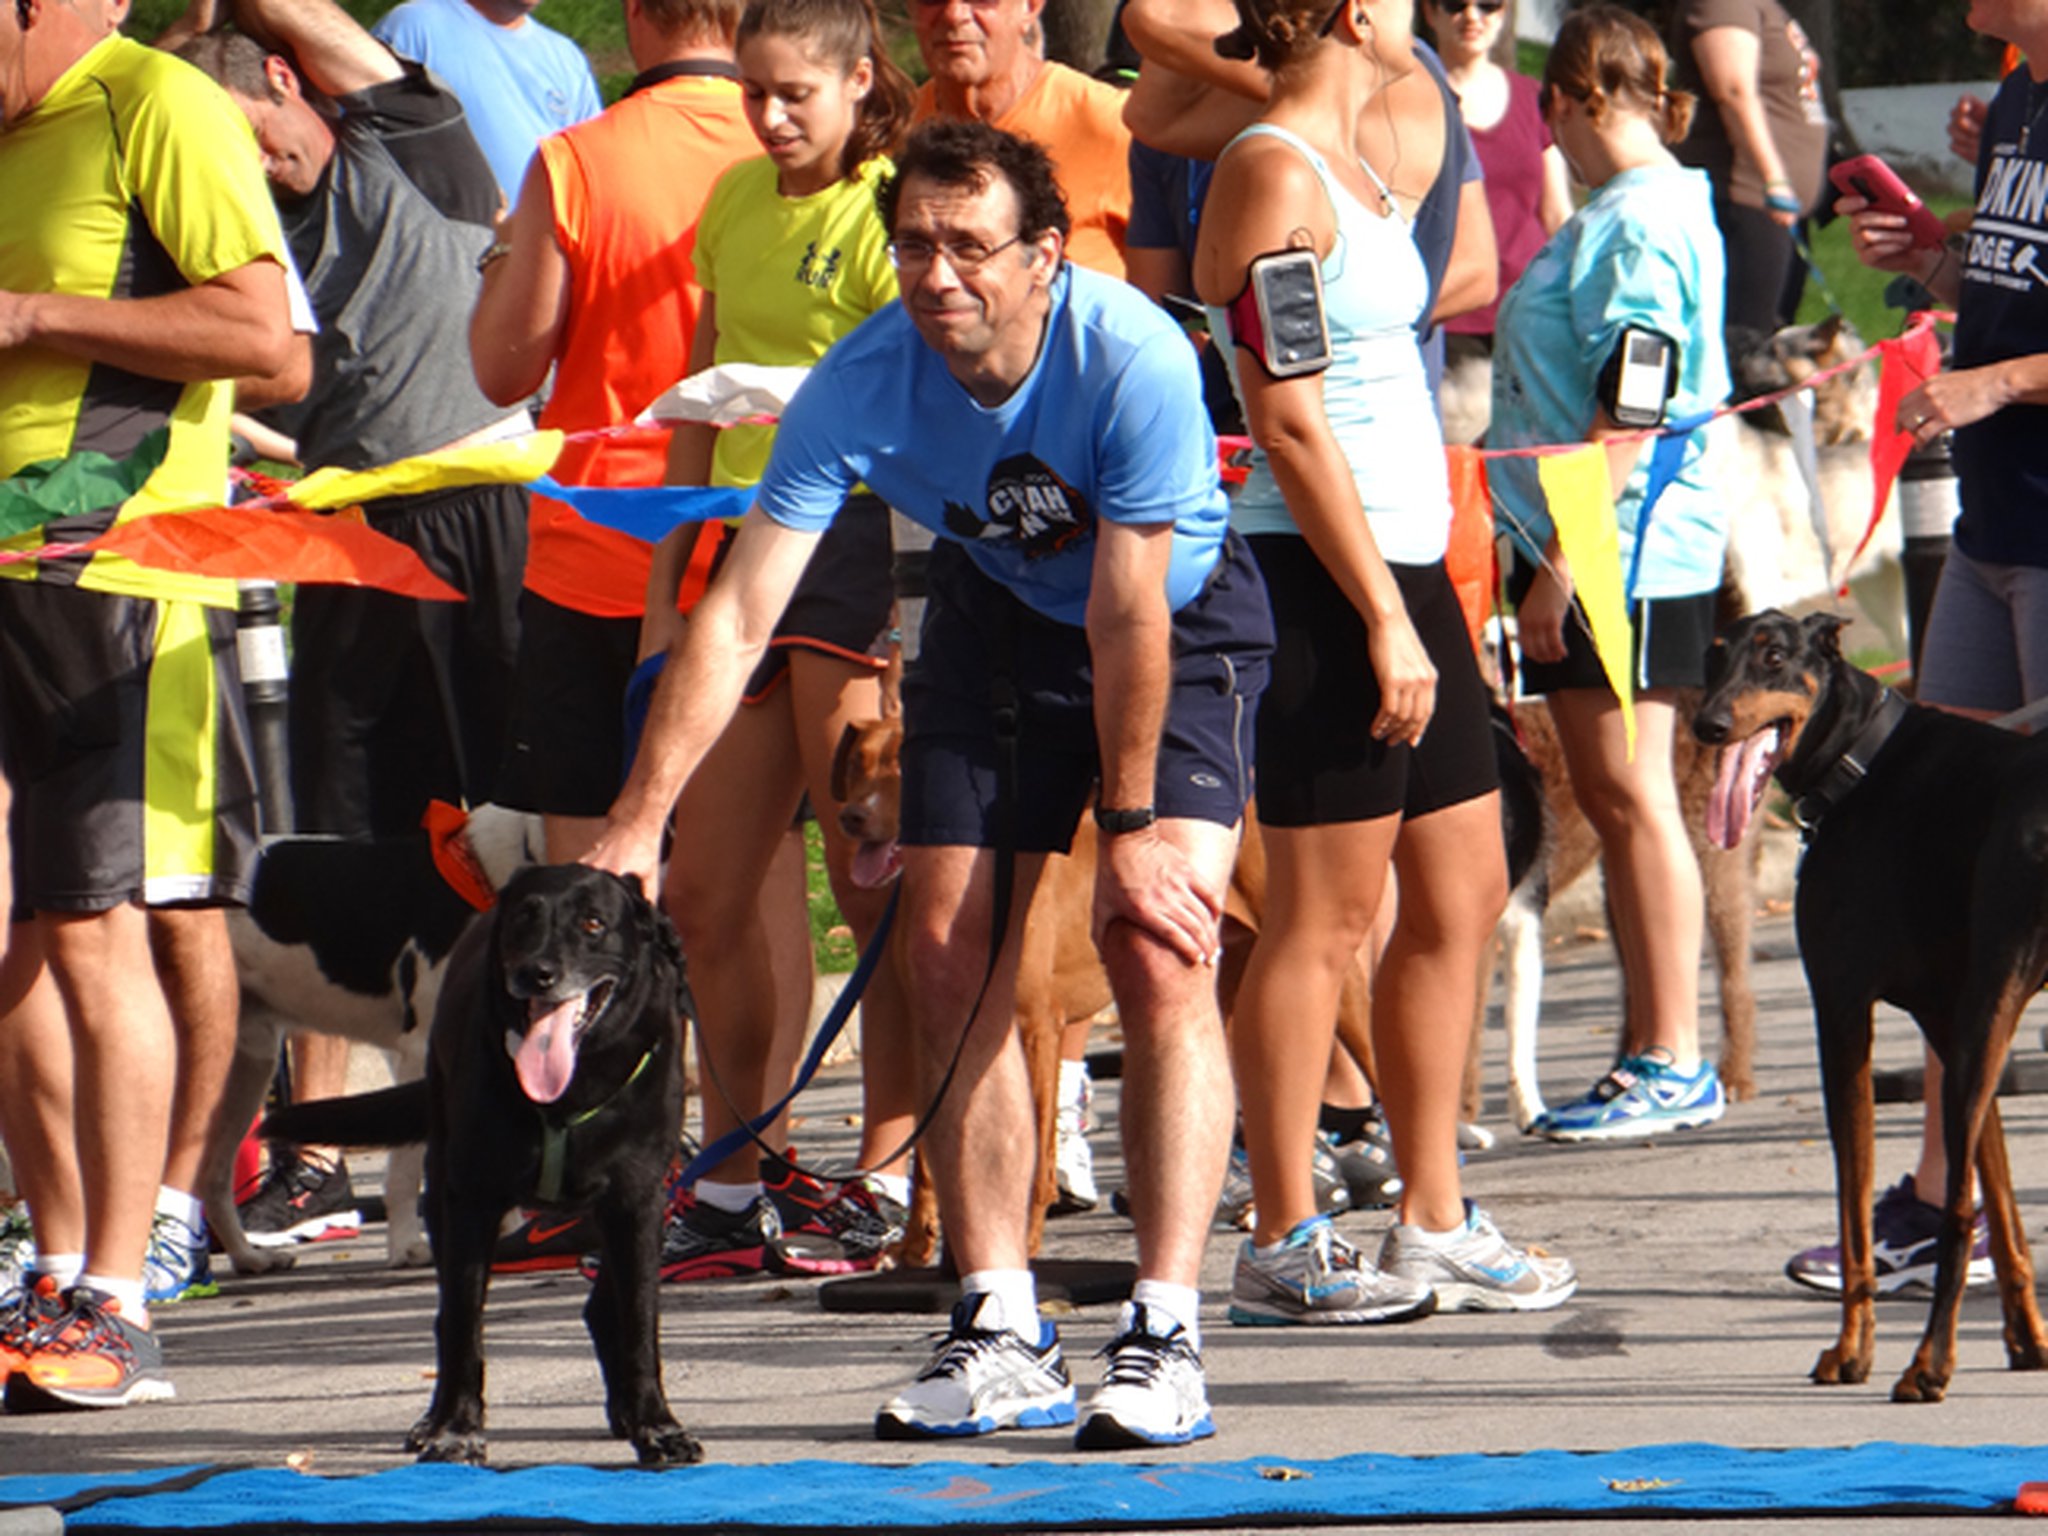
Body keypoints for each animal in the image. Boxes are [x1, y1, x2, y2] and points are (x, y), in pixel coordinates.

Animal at [268, 868, 700, 1466]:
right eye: (524, 917)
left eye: (593, 923)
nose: (536, 972)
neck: (566, 1094)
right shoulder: (471, 1201)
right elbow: (462, 1326)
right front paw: (455, 1429)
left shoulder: (638, 1202)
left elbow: (639, 1322)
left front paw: (657, 1426)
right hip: (444, 1188)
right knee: (448, 1315)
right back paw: (434, 1419)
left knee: (605, 1304)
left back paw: (625, 1411)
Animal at [1687, 614, 2048, 1409]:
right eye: (1712, 658)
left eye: (1775, 656)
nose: (1707, 725)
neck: (1859, 761)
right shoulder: (1953, 1026)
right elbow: (2003, 1202)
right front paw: (2029, 1341)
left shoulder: (1844, 1009)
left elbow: (1856, 1213)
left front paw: (1852, 1352)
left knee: (1955, 1216)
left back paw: (1927, 1366)